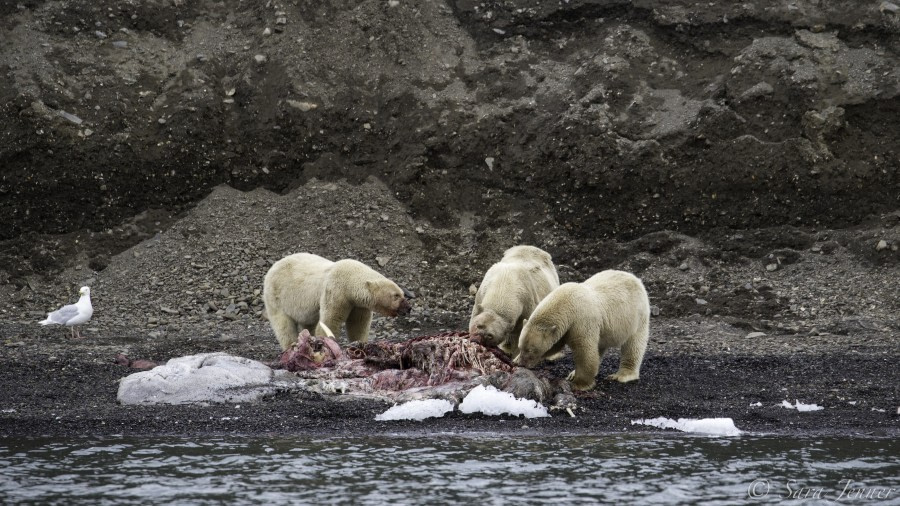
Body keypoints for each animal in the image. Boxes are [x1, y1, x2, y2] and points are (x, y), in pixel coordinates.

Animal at [262, 255, 414, 350]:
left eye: (402, 294)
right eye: (396, 295)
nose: (408, 308)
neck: (351, 280)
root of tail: (273, 267)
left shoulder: (358, 304)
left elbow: (358, 324)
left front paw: (360, 343)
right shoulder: (336, 291)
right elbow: (330, 320)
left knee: (308, 322)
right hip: (277, 296)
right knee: (283, 325)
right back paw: (291, 346)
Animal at [512, 268, 648, 392]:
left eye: (530, 350)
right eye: (520, 347)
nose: (521, 364)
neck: (567, 303)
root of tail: (635, 278)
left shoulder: (581, 321)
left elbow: (584, 351)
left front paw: (579, 384)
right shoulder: (565, 329)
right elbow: (554, 346)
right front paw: (514, 359)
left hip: (637, 315)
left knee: (634, 345)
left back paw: (623, 375)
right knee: (599, 347)